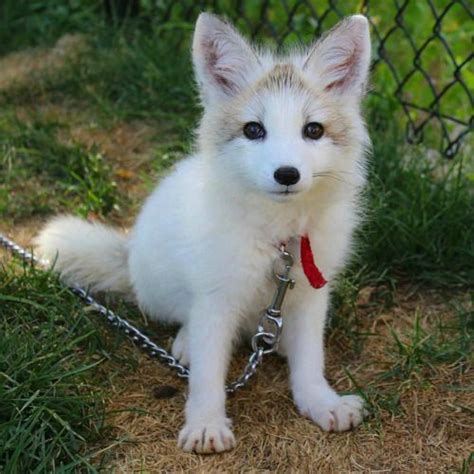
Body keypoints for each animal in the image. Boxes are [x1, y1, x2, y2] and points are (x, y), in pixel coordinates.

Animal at [35, 12, 372, 454]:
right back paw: (186, 343)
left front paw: (321, 402)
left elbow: (310, 361)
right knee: (184, 320)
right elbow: (208, 377)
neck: (277, 241)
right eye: (253, 130)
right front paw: (206, 424)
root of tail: (129, 253)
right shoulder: (215, 300)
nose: (286, 174)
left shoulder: (311, 297)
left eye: (313, 130)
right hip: (165, 286)